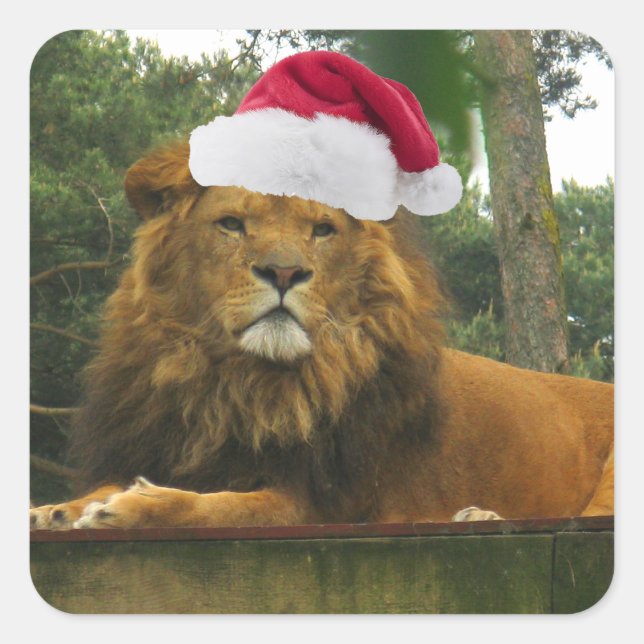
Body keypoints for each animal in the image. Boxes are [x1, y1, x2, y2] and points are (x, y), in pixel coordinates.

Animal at [30, 141, 614, 530]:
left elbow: (223, 508)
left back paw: (480, 515)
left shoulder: (322, 504)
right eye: (232, 224)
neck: (232, 383)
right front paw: (56, 510)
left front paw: (131, 508)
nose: (284, 272)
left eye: (322, 230)